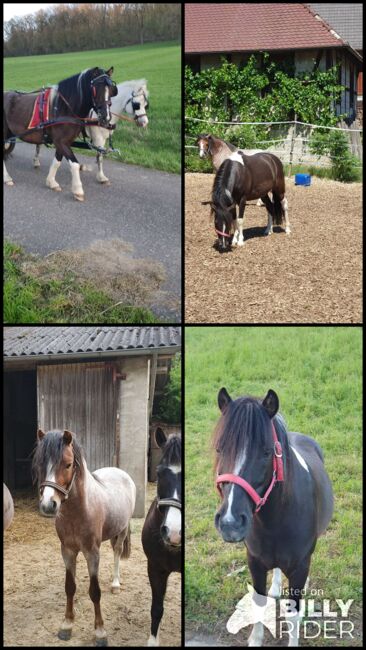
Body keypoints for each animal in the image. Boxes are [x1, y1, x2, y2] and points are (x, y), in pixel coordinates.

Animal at [3, 67, 117, 200]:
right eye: (95, 89)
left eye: (111, 90)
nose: (106, 117)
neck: (64, 108)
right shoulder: (60, 142)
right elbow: (74, 164)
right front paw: (78, 190)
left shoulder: (63, 142)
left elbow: (57, 162)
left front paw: (51, 182)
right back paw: (7, 178)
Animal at [32, 428, 136, 644]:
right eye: (40, 464)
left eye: (68, 464)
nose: (48, 505)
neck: (78, 511)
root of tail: (121, 472)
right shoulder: (68, 551)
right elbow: (69, 587)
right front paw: (67, 625)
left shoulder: (92, 553)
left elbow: (95, 592)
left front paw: (100, 632)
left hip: (122, 530)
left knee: (117, 552)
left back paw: (115, 583)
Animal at [213, 388, 334, 644]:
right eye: (219, 448)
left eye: (266, 451)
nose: (230, 523)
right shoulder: (255, 562)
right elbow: (258, 604)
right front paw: (255, 640)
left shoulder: (299, 567)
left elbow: (293, 614)